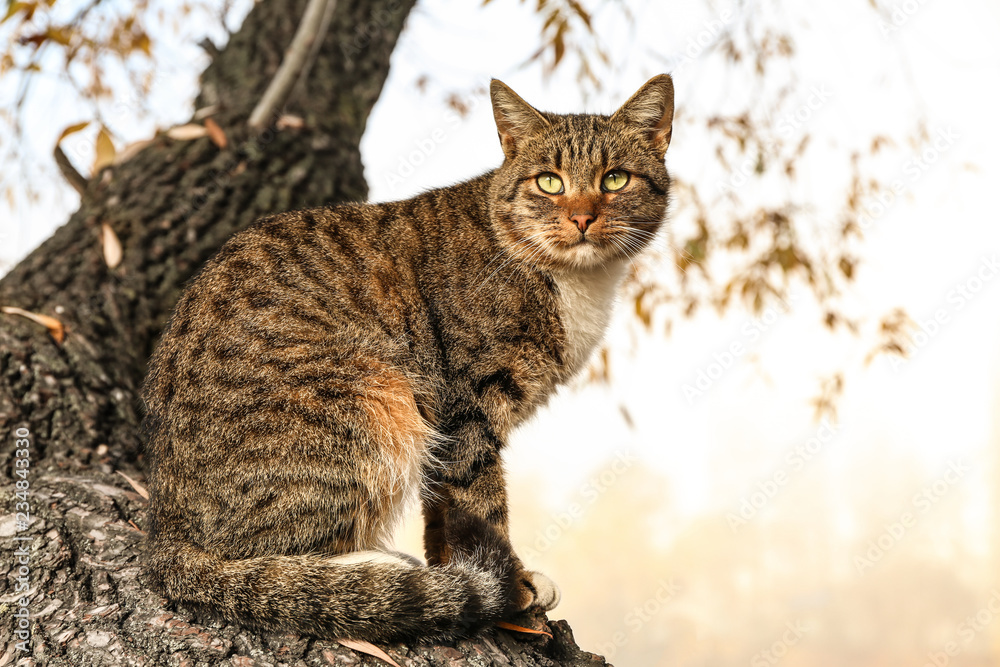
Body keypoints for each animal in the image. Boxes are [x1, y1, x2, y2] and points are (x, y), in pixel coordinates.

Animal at [143, 75, 672, 644]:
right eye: (549, 182)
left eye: (615, 179)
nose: (582, 217)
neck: (575, 281)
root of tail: (164, 528)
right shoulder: (468, 403)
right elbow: (482, 501)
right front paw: (511, 590)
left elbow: (445, 509)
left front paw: (461, 570)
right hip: (373, 396)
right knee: (263, 557)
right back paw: (376, 569)